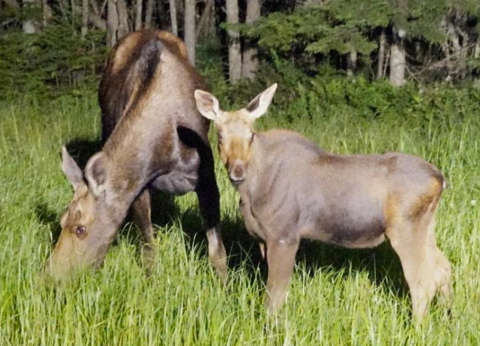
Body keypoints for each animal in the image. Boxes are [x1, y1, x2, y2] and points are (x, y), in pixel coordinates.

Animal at [43, 30, 227, 282]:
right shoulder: (139, 185)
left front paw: (225, 285)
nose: (49, 278)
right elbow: (148, 247)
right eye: (61, 221)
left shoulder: (207, 179)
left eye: (80, 228)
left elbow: (217, 251)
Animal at [193, 84, 452, 322]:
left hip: (405, 230)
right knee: (443, 268)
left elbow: (275, 295)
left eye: (251, 135)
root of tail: (440, 179)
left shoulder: (284, 235)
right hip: (427, 227)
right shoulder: (263, 239)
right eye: (220, 137)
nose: (237, 171)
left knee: (423, 283)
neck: (251, 192)